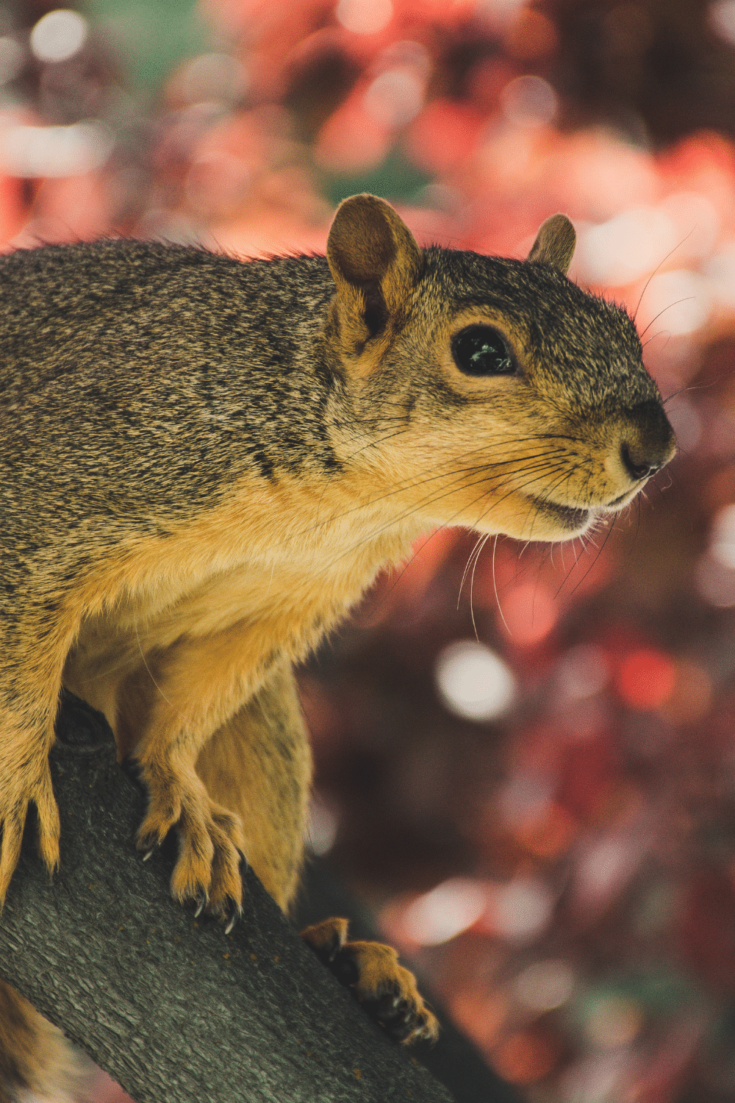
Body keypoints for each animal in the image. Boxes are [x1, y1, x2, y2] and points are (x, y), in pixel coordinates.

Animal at [0, 191, 670, 1094]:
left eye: (623, 328)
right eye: (480, 349)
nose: (655, 446)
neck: (344, 507)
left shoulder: (277, 609)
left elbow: (185, 709)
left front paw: (179, 787)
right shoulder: (53, 482)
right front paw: (10, 769)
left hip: (269, 745)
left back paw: (348, 964)